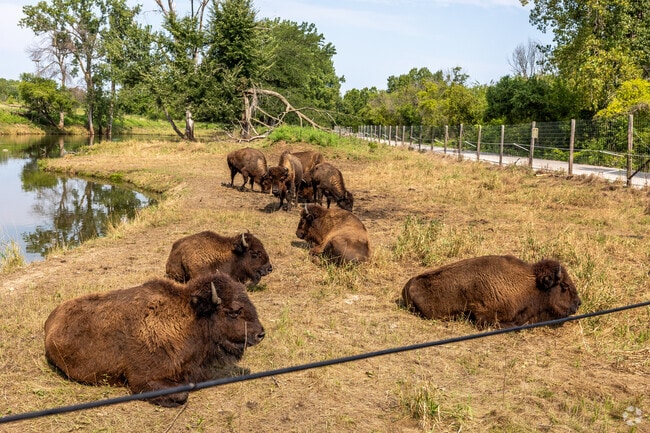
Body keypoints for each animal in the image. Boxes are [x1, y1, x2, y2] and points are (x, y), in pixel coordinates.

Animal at [44, 272, 265, 407]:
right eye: (232, 311)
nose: (260, 334)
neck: (190, 317)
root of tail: (50, 320)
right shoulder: (142, 379)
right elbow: (181, 393)